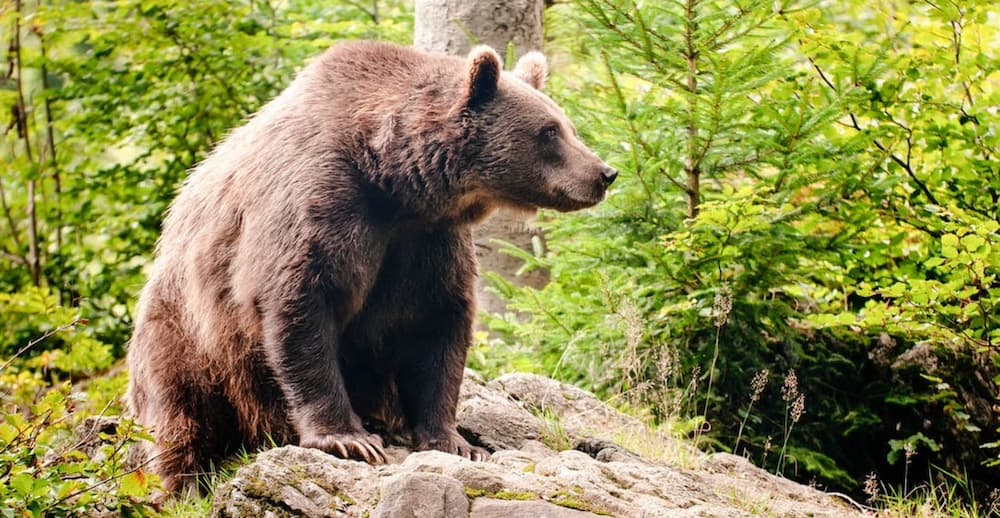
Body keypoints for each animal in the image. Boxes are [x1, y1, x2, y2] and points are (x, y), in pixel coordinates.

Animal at [126, 40, 616, 493]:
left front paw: (455, 440)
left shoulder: (428, 243)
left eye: (567, 125)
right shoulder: (323, 203)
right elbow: (301, 305)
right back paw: (183, 482)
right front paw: (348, 439)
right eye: (549, 131)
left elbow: (438, 327)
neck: (393, 181)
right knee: (180, 413)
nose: (604, 172)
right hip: (187, 334)